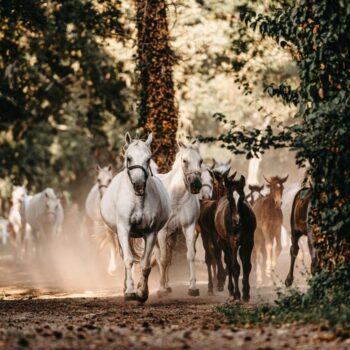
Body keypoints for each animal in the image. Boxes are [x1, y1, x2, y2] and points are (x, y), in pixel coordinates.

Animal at [100, 133, 170, 302]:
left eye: (148, 158)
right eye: (128, 157)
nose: (138, 185)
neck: (137, 199)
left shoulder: (150, 233)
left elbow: (145, 264)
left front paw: (142, 292)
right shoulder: (123, 230)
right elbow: (128, 259)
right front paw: (130, 292)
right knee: (125, 256)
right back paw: (126, 287)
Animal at [154, 141, 202, 296]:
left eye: (200, 161)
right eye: (185, 161)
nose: (196, 185)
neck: (176, 197)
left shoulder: (188, 227)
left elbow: (190, 255)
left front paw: (193, 287)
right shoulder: (162, 231)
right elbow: (163, 260)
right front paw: (161, 289)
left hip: (172, 236)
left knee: (168, 257)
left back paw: (168, 285)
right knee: (158, 257)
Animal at [215, 172, 256, 300]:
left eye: (242, 197)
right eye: (229, 198)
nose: (236, 221)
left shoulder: (249, 241)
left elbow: (247, 266)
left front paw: (246, 293)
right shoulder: (232, 242)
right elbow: (235, 267)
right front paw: (237, 294)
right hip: (224, 242)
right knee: (228, 263)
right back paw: (231, 291)